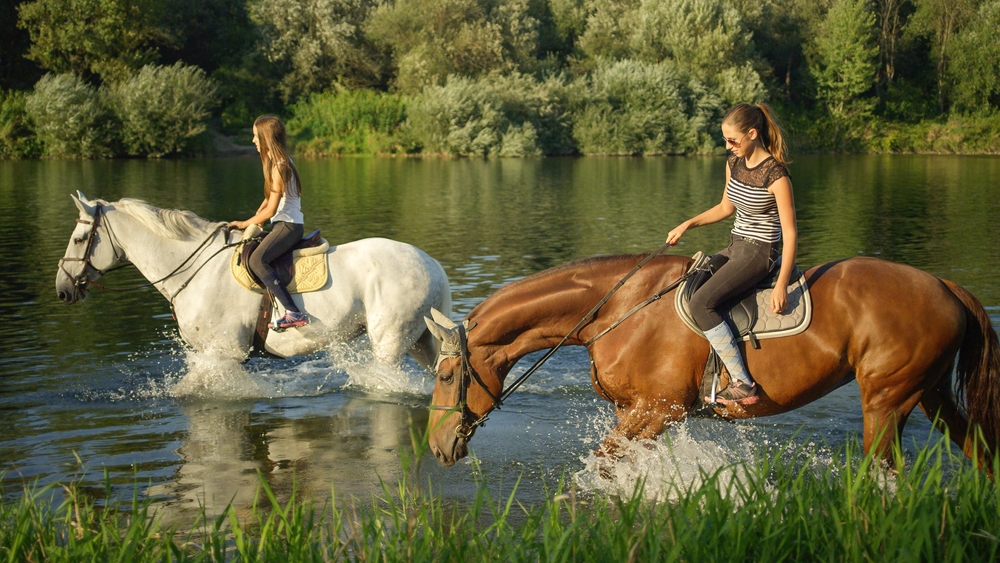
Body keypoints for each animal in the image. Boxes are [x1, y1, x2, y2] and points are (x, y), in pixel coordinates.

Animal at [56, 192, 456, 368]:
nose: (62, 289)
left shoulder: (224, 352)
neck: (196, 269)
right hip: (419, 340)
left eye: (80, 238)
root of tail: (434, 265)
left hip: (391, 340)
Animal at [420, 256, 1000, 472]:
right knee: (980, 448)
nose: (436, 446)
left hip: (887, 400)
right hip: (929, 394)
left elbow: (597, 470)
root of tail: (944, 286)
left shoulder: (655, 411)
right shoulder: (638, 415)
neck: (618, 307)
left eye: (446, 376)